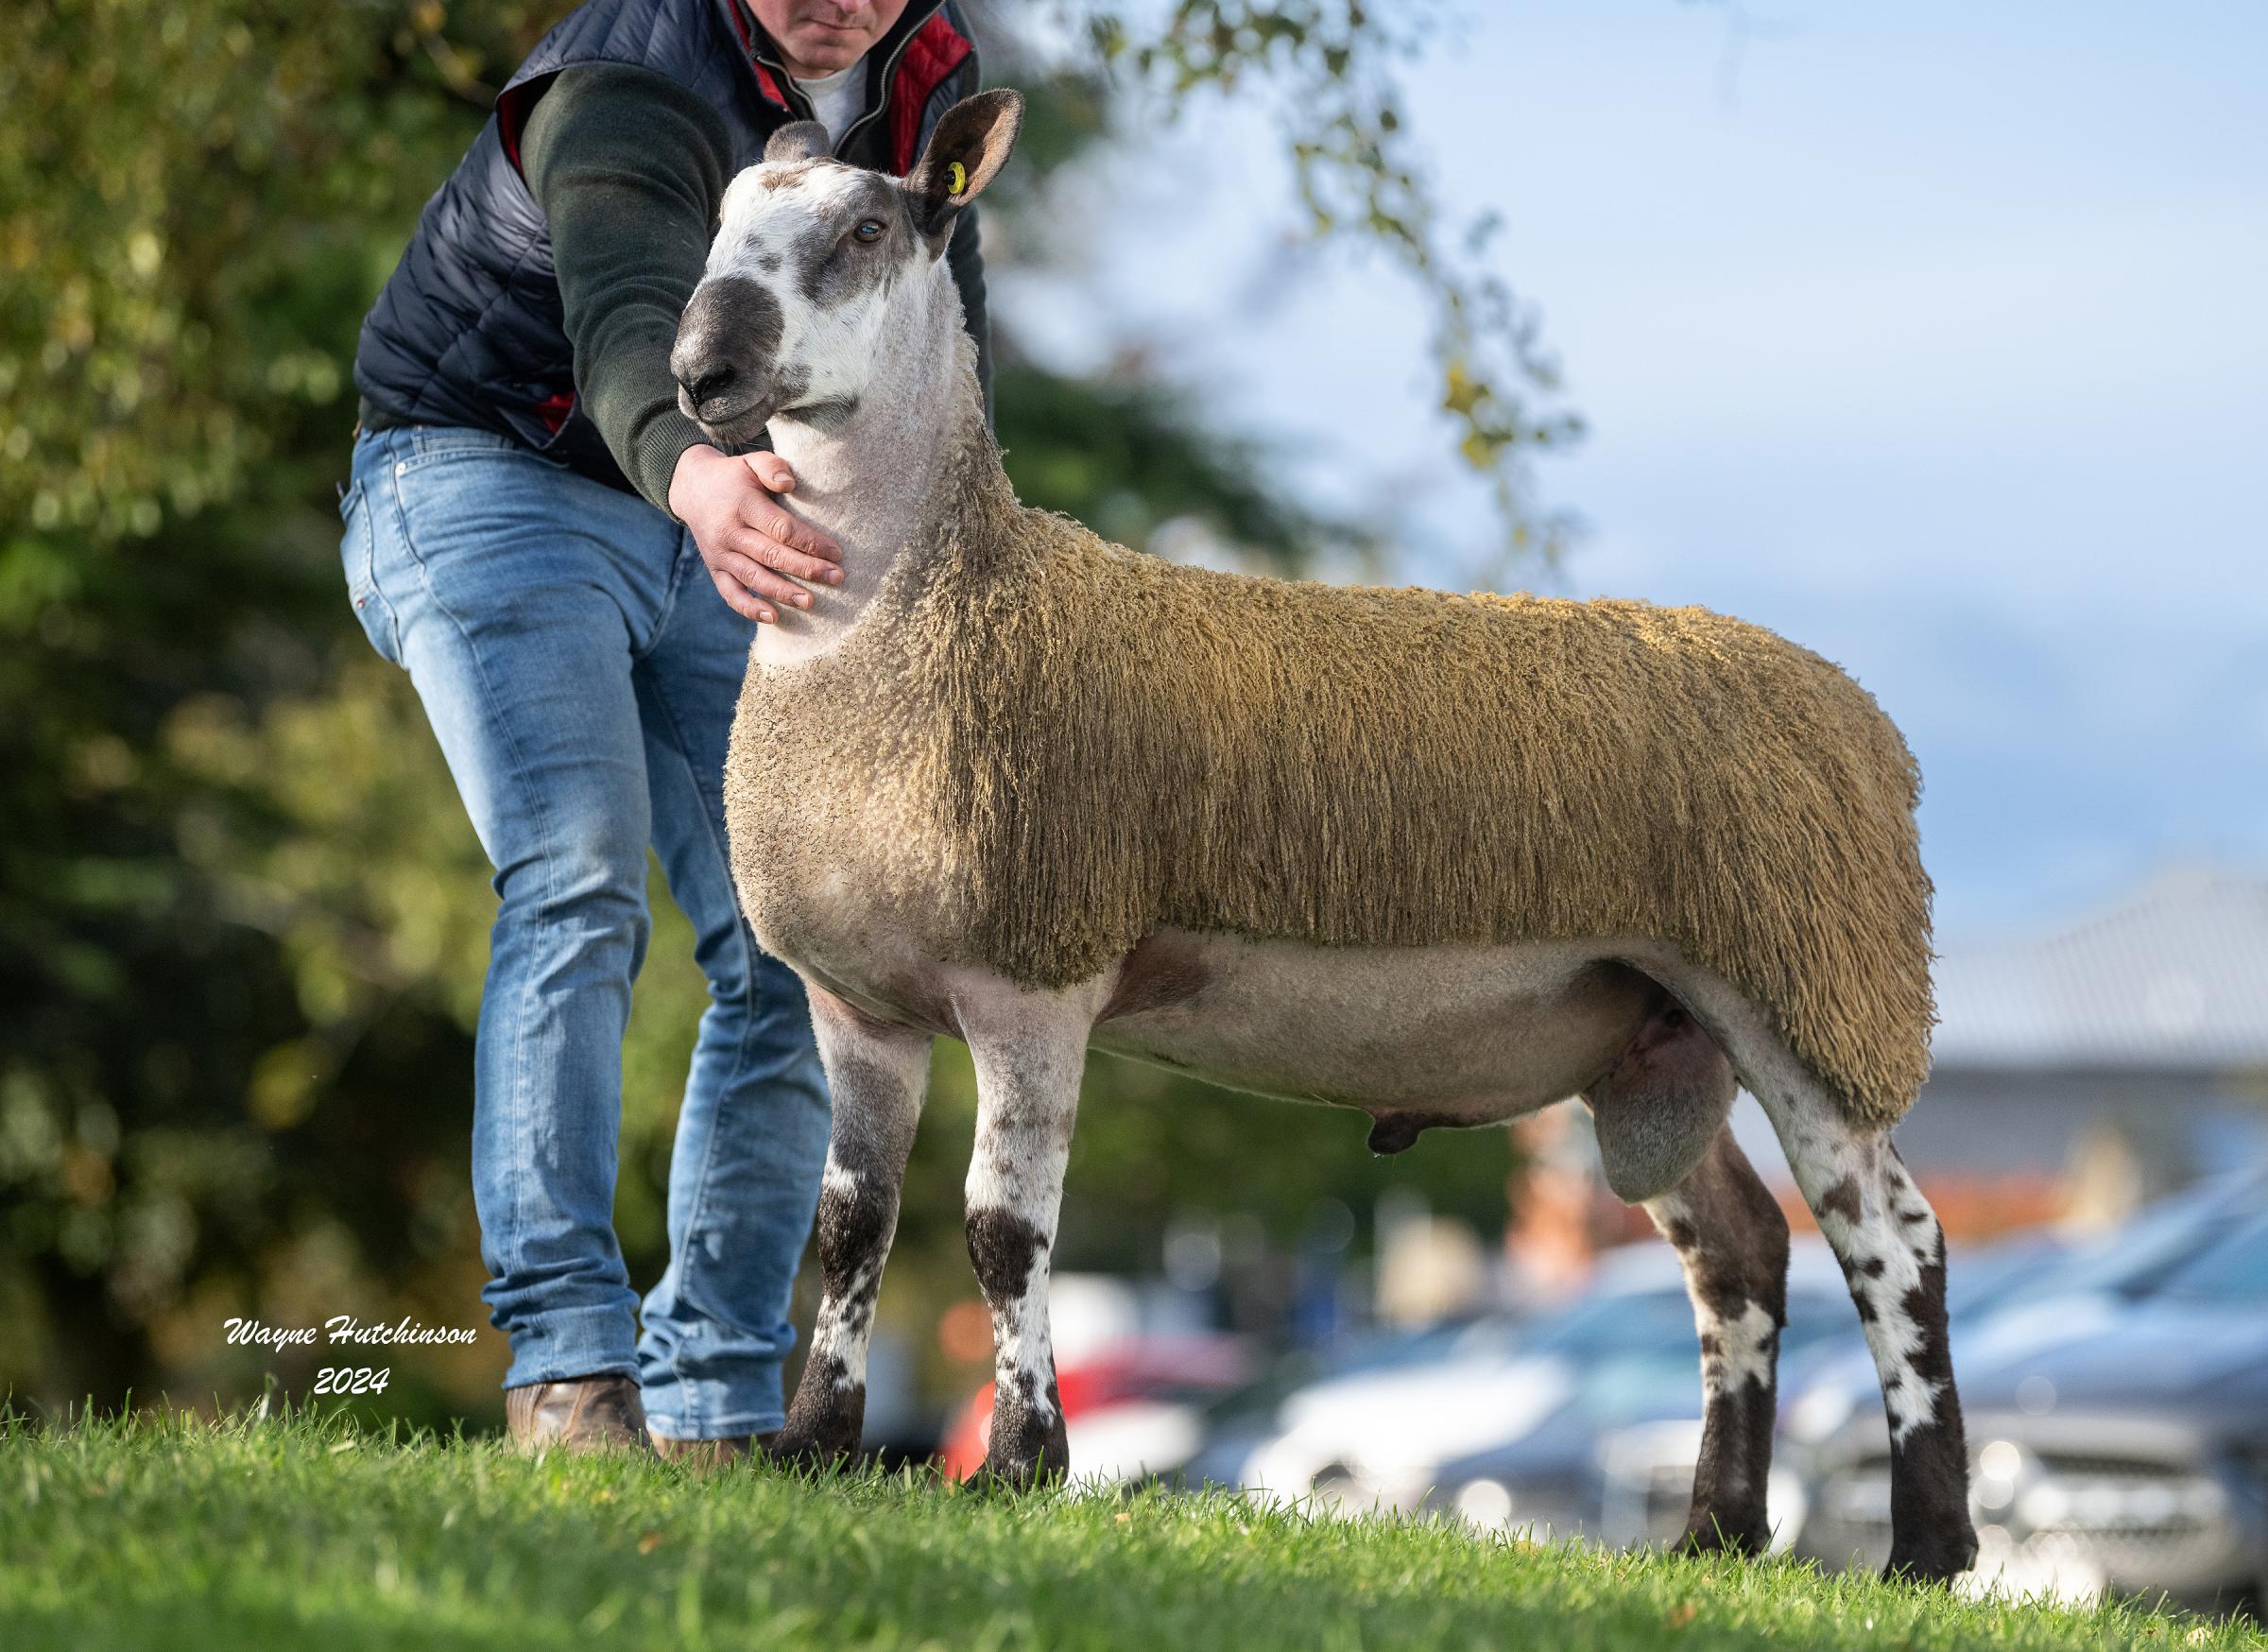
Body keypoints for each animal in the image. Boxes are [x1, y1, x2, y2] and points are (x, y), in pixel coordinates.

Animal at [671, 94, 1986, 1588]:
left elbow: (1003, 1234)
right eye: (723, 217)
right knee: (1742, 1251)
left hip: (1813, 988)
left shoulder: (1037, 969)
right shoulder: (856, 999)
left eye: (864, 231)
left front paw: (1020, 1466)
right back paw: (1714, 1532)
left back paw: (1926, 1547)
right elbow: (849, 1227)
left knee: (1891, 1239)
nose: (703, 371)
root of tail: (1864, 717)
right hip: (1652, 1030)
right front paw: (811, 1447)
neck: (911, 609)